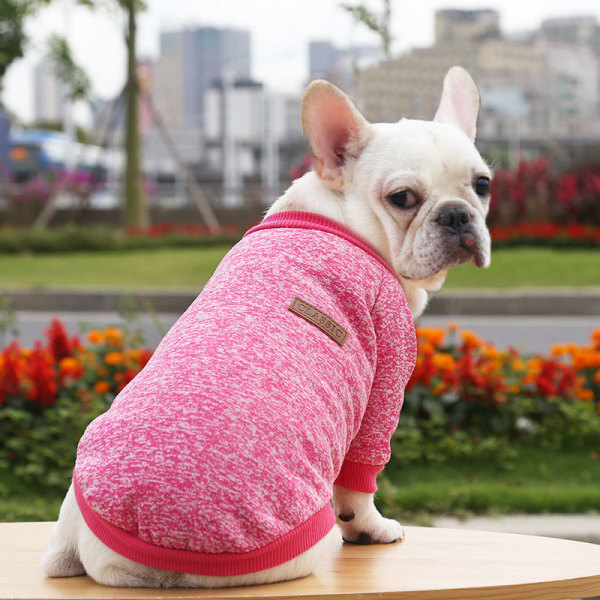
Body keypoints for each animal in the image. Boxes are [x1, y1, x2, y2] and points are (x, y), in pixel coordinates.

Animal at [43, 65, 492, 584]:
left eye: (482, 185)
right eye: (402, 198)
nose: (457, 214)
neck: (344, 219)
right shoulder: (387, 375)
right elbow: (360, 478)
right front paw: (370, 528)